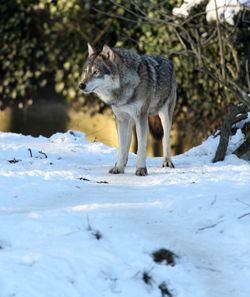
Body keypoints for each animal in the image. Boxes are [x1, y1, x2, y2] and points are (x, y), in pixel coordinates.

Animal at [79, 42, 176, 175]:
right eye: (86, 71)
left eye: (96, 72)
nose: (81, 85)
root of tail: (167, 59)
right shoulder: (121, 119)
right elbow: (122, 146)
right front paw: (118, 167)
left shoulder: (141, 117)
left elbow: (141, 147)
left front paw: (141, 169)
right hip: (130, 121)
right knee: (126, 145)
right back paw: (121, 164)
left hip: (164, 116)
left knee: (165, 139)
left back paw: (167, 162)